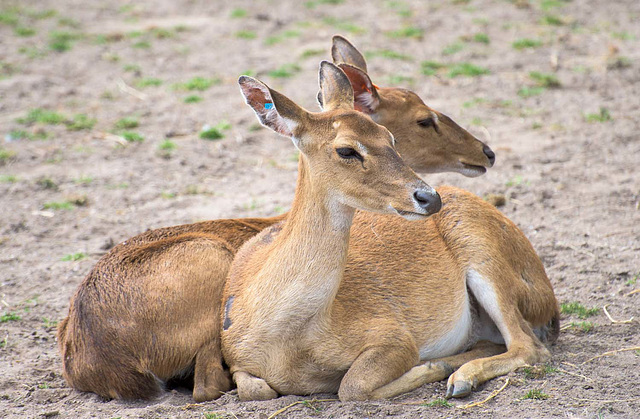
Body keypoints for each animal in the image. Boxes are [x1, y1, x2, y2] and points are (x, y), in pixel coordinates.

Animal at [56, 39, 500, 404]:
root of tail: (91, 358)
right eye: (424, 119)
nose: (486, 151)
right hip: (209, 259)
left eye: (388, 137)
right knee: (207, 384)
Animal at [222, 63, 556, 404]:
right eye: (346, 149)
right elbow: (256, 388)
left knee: (529, 347)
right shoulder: (235, 361)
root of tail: (548, 301)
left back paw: (460, 378)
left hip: (484, 255)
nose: (429, 197)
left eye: (389, 137)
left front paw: (435, 366)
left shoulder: (394, 335)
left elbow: (351, 386)